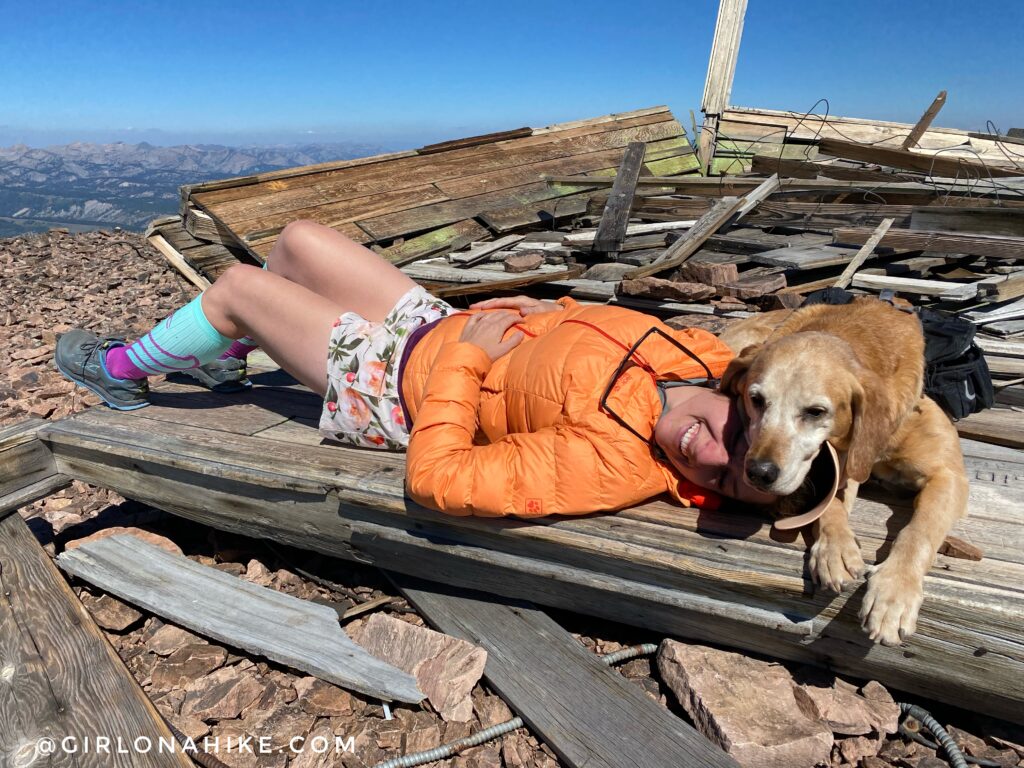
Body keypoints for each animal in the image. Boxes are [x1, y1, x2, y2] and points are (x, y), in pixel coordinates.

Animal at [720, 301, 966, 651]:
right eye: (756, 400)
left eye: (815, 412)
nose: (758, 473)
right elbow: (831, 503)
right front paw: (834, 549)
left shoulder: (947, 474)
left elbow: (920, 529)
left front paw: (894, 592)